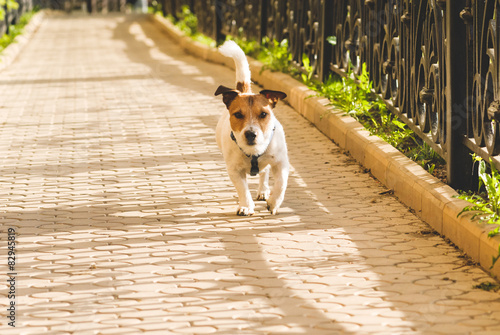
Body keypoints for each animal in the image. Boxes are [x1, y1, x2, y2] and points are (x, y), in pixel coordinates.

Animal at [215, 40, 290, 217]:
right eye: (237, 115)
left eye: (263, 114)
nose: (250, 134)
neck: (254, 152)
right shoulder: (234, 170)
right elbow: (243, 189)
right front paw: (246, 206)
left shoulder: (281, 163)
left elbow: (281, 184)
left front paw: (274, 202)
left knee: (265, 173)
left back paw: (263, 191)